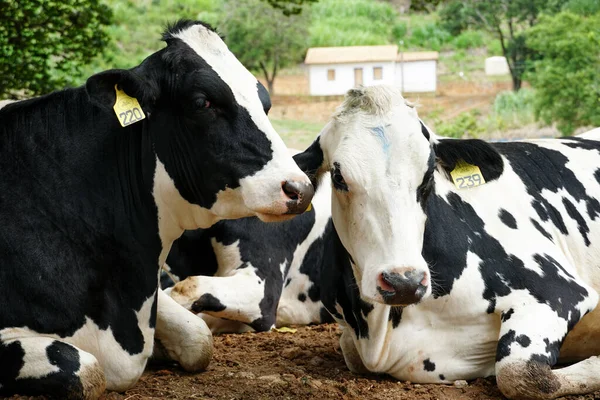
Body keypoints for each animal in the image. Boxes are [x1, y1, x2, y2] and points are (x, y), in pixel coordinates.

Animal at [288, 85, 600, 400]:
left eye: (428, 176)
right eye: (338, 177)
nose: (404, 282)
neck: (379, 332)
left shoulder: (558, 291)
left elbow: (521, 374)